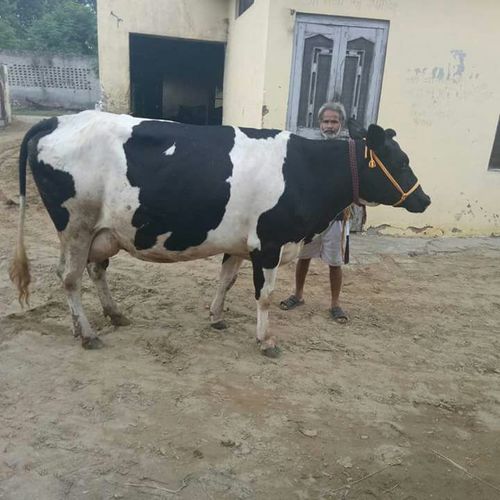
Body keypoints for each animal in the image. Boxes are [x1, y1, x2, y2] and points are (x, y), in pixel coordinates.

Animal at [8, 112, 430, 358]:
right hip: (76, 224)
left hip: (102, 231)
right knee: (69, 278)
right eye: (401, 161)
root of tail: (58, 120)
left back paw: (110, 316)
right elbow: (264, 295)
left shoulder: (241, 244)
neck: (305, 171)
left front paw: (215, 318)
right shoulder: (270, 244)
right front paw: (266, 340)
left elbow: (225, 280)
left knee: (92, 272)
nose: (424, 199)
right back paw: (88, 333)